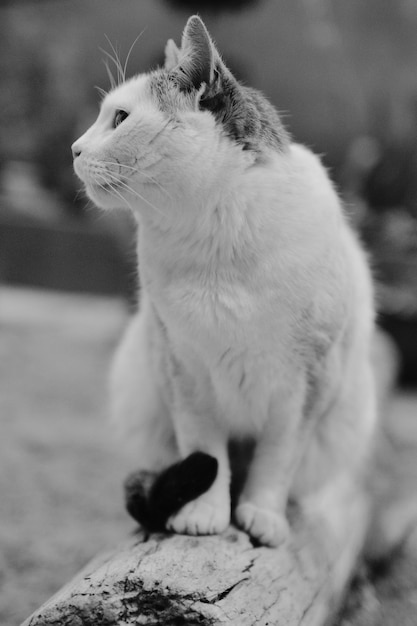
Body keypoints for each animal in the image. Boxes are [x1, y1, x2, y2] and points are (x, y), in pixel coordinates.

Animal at [70, 12, 376, 544]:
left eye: (120, 119)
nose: (74, 149)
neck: (214, 236)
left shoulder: (308, 384)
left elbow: (275, 462)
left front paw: (262, 518)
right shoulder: (183, 369)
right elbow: (207, 455)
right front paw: (203, 517)